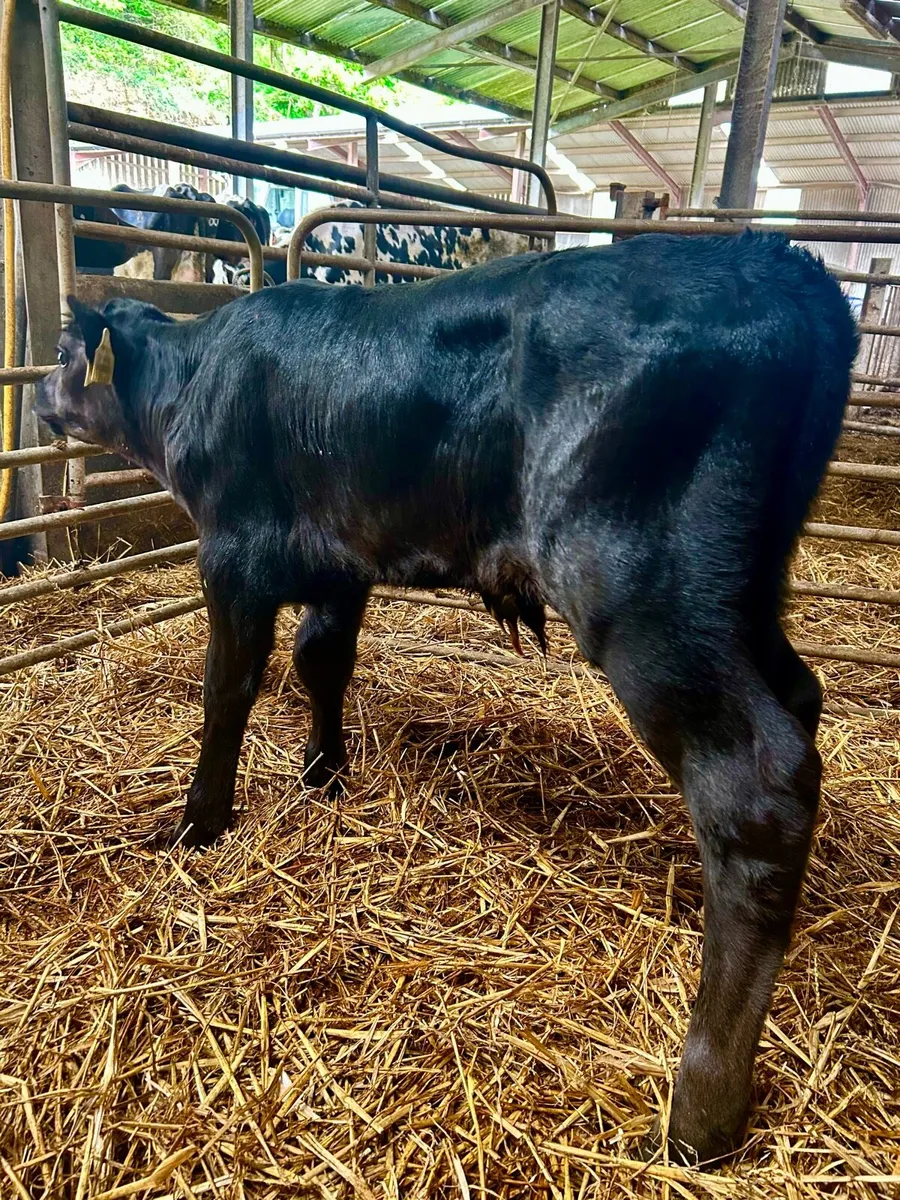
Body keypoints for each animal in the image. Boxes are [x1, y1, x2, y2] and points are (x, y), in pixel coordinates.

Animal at [35, 232, 857, 1165]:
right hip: (743, 594)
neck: (193, 377)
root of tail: (780, 265)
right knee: (800, 699)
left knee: (754, 782)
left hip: (643, 588)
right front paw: (323, 773)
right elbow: (323, 663)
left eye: (62, 354)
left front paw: (196, 823)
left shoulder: (234, 555)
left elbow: (228, 691)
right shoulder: (339, 563)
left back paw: (702, 1103)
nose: (37, 398)